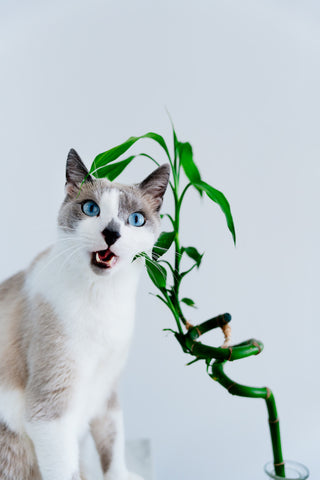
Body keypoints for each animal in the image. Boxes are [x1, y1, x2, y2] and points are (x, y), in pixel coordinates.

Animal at [0, 148, 170, 478]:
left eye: (136, 219)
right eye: (91, 209)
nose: (111, 233)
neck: (104, 299)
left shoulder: (106, 390)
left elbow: (113, 448)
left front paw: (121, 474)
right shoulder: (50, 412)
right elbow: (66, 471)